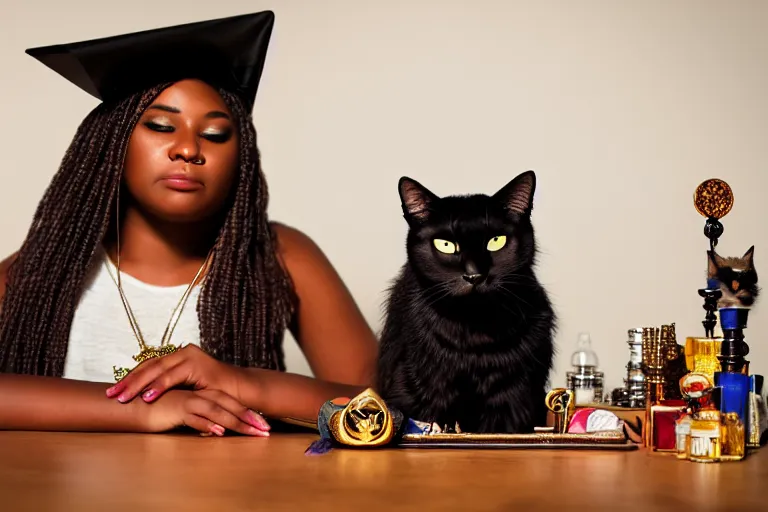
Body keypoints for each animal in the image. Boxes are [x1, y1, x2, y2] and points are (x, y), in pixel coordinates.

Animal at [376, 171, 556, 432]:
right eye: (445, 245)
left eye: (496, 241)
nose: (474, 275)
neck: (474, 327)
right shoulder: (424, 388)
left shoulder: (514, 394)